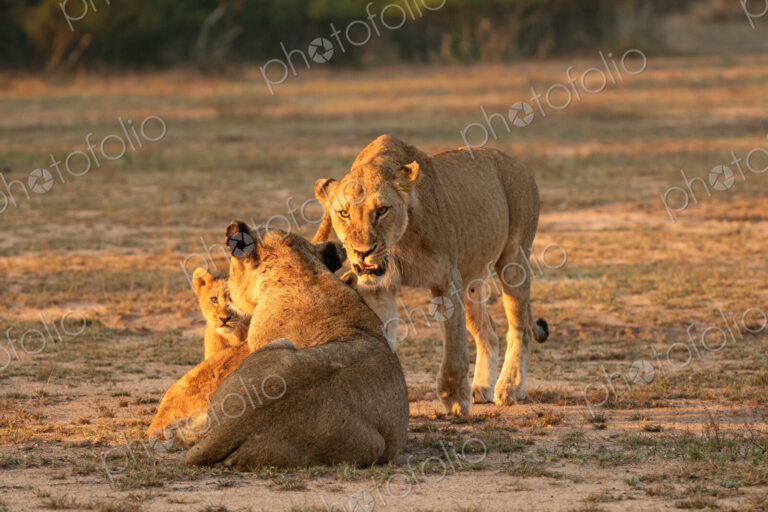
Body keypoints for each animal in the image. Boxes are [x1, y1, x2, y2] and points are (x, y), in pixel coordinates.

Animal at [313, 134, 549, 415]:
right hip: (471, 281)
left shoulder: (447, 281)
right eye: (344, 213)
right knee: (488, 331)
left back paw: (510, 387)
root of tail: (517, 162)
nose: (362, 252)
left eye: (382, 210)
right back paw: (482, 388)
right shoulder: (378, 290)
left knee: (519, 330)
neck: (398, 243)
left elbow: (454, 348)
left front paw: (456, 400)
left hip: (514, 261)